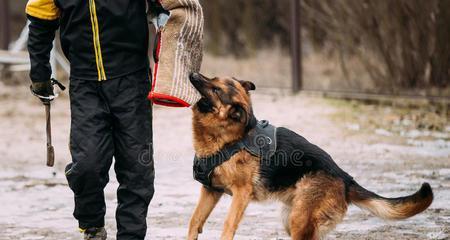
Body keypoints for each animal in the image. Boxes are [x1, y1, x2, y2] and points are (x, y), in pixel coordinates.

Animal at [186, 73, 432, 240]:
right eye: (212, 78)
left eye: (216, 90)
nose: (193, 74)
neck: (229, 137)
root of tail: (344, 177)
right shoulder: (211, 190)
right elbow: (194, 221)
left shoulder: (241, 194)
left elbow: (228, 226)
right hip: (293, 218)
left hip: (298, 220)